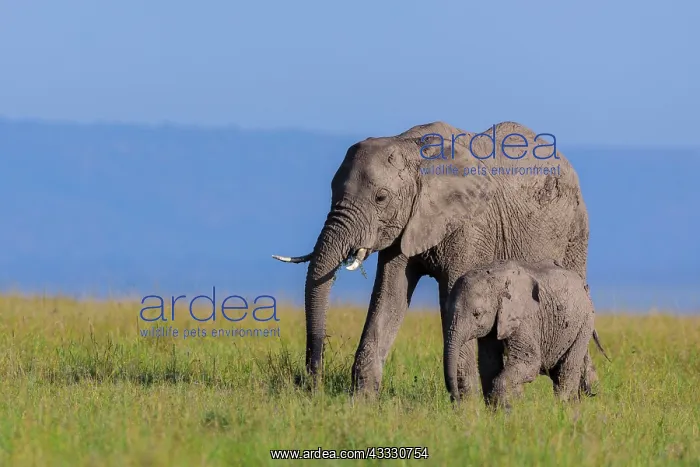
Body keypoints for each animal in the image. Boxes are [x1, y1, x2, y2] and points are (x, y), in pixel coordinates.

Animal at [272, 120, 595, 399]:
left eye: (381, 198)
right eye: (331, 191)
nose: (313, 384)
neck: (412, 149)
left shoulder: (470, 224)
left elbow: (453, 295)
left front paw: (466, 407)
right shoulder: (405, 226)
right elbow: (389, 296)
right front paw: (362, 402)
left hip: (575, 233)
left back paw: (584, 394)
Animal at [443, 259, 610, 408]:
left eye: (477, 314)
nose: (457, 402)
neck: (495, 277)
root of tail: (584, 286)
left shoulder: (524, 317)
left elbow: (529, 361)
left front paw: (505, 412)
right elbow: (489, 363)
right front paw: (499, 412)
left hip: (584, 324)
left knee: (566, 371)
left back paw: (561, 409)